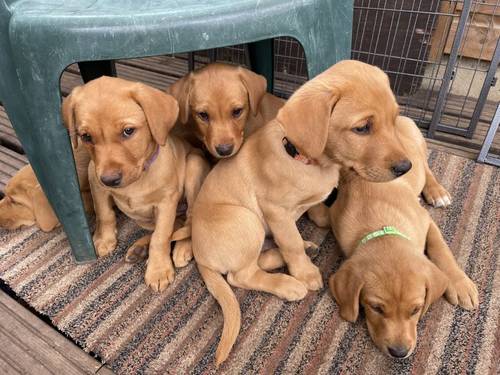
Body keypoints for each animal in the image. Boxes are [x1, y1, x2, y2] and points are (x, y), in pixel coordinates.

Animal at [63, 78, 210, 292]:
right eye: (86, 137)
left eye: (128, 131)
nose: (110, 180)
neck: (137, 181)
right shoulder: (96, 181)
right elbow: (104, 214)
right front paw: (104, 239)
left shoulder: (166, 202)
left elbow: (161, 236)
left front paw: (158, 270)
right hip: (144, 218)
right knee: (178, 224)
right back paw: (140, 248)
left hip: (194, 164)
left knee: (189, 219)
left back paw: (182, 248)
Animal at [191, 61, 418, 364]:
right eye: (362, 128)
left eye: (394, 119)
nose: (406, 167)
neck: (301, 158)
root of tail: (200, 256)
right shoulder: (276, 211)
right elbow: (291, 243)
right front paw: (305, 273)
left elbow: (318, 212)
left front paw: (322, 217)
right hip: (246, 219)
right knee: (241, 275)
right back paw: (287, 284)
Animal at [326, 117, 478, 358]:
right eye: (376, 308)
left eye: (416, 309)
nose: (399, 353)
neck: (381, 223)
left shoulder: (426, 221)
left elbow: (441, 249)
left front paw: (460, 284)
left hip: (416, 142)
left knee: (424, 165)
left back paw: (436, 191)